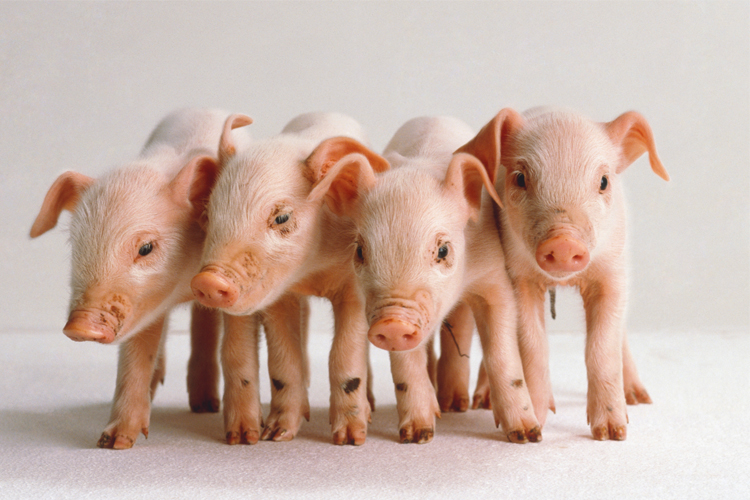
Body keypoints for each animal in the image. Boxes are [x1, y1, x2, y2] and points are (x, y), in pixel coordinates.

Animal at [29, 108, 308, 448]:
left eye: (146, 248)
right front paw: (113, 443)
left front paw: (244, 438)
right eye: (76, 244)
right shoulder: (144, 305)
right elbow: (134, 360)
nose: (79, 326)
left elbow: (235, 347)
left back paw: (205, 406)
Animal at [190, 112, 387, 445]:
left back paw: (371, 410)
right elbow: (284, 360)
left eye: (282, 217)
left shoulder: (354, 287)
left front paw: (350, 439)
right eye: (211, 212)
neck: (312, 269)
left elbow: (344, 355)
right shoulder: (279, 295)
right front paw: (276, 435)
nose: (208, 281)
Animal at [304, 116, 541, 444]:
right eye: (361, 251)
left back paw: (458, 405)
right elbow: (405, 363)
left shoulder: (493, 277)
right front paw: (418, 436)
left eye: (443, 250)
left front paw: (527, 436)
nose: (392, 323)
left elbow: (501, 353)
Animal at [455, 107, 668, 440]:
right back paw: (483, 402)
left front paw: (612, 433)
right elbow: (532, 345)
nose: (563, 241)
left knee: (620, 336)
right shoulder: (519, 277)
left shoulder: (612, 274)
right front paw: (538, 428)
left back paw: (639, 398)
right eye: (520, 178)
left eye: (604, 181)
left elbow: (602, 347)